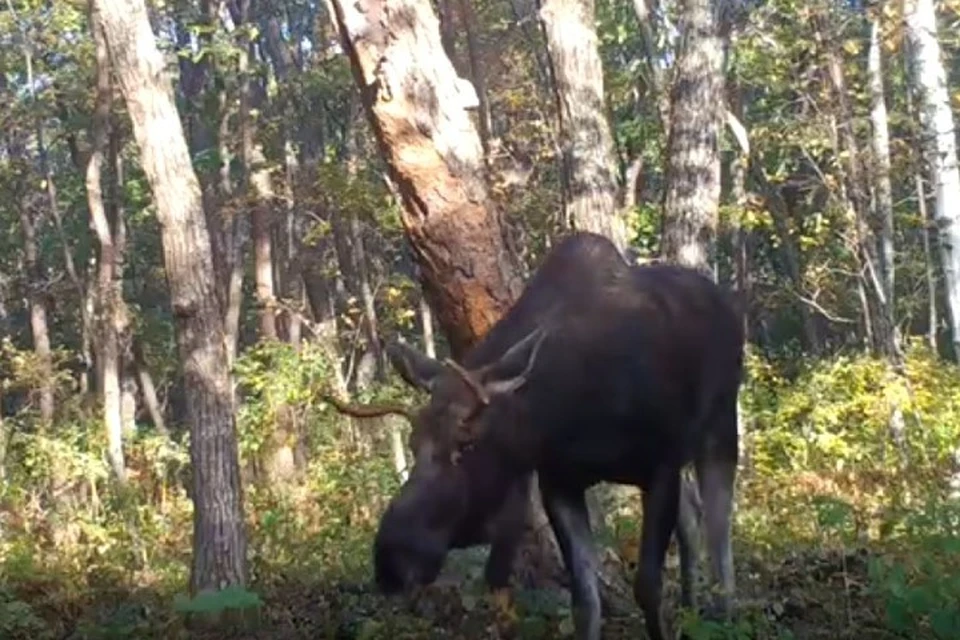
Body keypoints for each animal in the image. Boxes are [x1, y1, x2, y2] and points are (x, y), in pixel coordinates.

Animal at [330, 234, 744, 640]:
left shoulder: (658, 467)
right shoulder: (560, 484)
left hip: (721, 425)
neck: (571, 413)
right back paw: (691, 609)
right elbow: (585, 602)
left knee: (719, 531)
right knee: (692, 513)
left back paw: (724, 616)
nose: (391, 561)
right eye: (413, 444)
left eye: (467, 444)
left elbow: (648, 587)